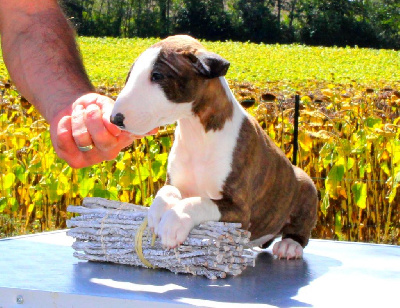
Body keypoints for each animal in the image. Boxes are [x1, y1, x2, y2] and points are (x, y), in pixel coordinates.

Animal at [111, 35, 318, 258]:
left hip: (306, 186)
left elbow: (200, 202)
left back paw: (290, 245)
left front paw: (173, 222)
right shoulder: (175, 182)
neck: (196, 134)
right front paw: (158, 213)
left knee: (300, 230)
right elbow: (166, 191)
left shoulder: (239, 210)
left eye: (157, 75)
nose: (115, 119)